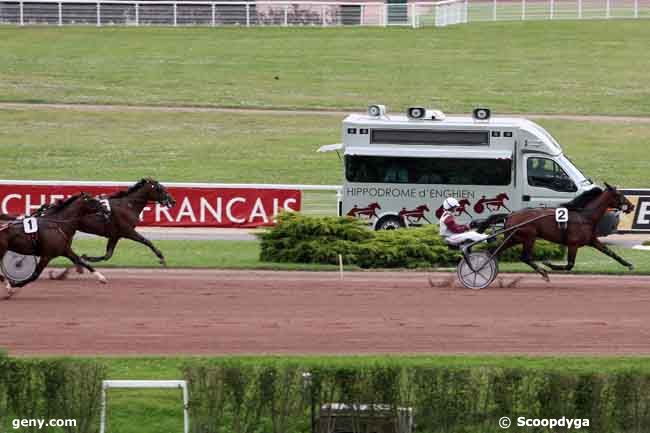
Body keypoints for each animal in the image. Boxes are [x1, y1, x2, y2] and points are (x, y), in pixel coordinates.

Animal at [456, 183, 632, 288]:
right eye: (619, 195)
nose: (631, 206)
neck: (584, 217)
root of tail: (511, 214)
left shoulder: (592, 241)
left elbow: (611, 253)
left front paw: (629, 264)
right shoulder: (573, 244)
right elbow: (570, 265)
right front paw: (549, 264)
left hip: (514, 237)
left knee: (494, 252)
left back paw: (480, 269)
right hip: (529, 236)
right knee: (524, 257)